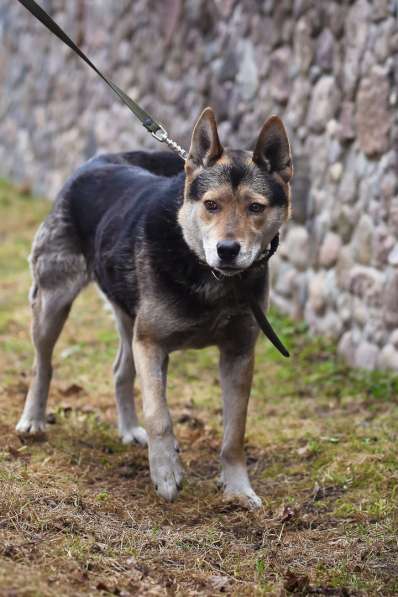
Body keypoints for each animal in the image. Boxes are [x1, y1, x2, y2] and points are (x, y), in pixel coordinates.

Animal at [16, 108, 292, 508]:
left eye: (255, 207)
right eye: (211, 205)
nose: (227, 250)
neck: (207, 272)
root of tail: (97, 161)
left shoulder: (239, 353)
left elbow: (234, 431)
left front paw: (238, 488)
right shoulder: (151, 344)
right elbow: (159, 414)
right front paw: (166, 474)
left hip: (130, 318)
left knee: (120, 372)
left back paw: (129, 429)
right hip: (54, 301)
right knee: (43, 363)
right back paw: (33, 420)